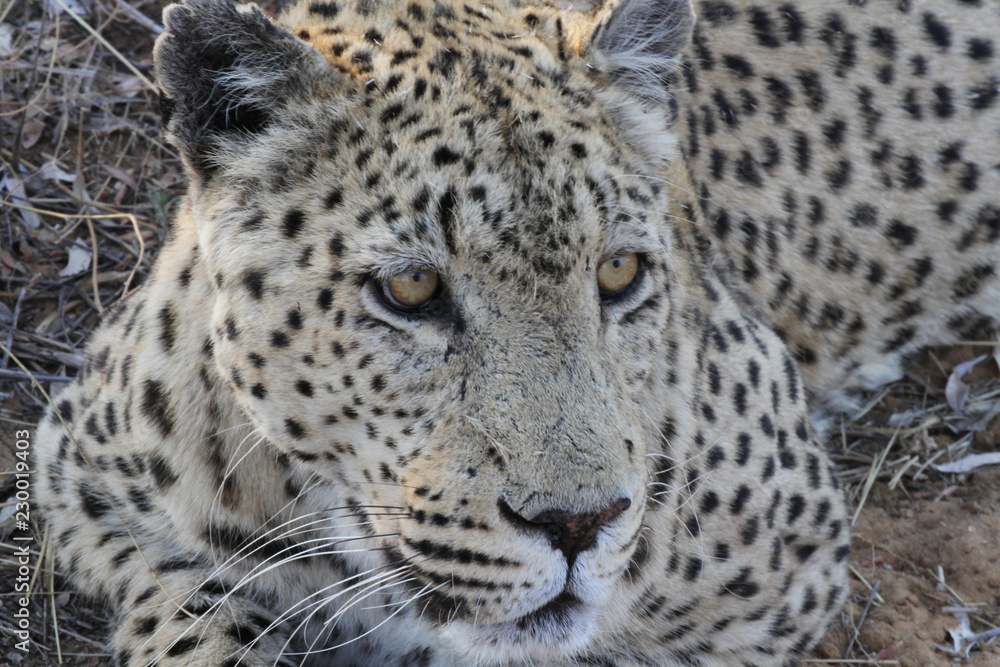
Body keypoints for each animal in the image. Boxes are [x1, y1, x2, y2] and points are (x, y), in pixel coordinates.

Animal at [31, 0, 997, 665]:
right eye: (412, 287)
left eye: (621, 272)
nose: (579, 524)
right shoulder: (89, 485)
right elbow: (196, 624)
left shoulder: (783, 568)